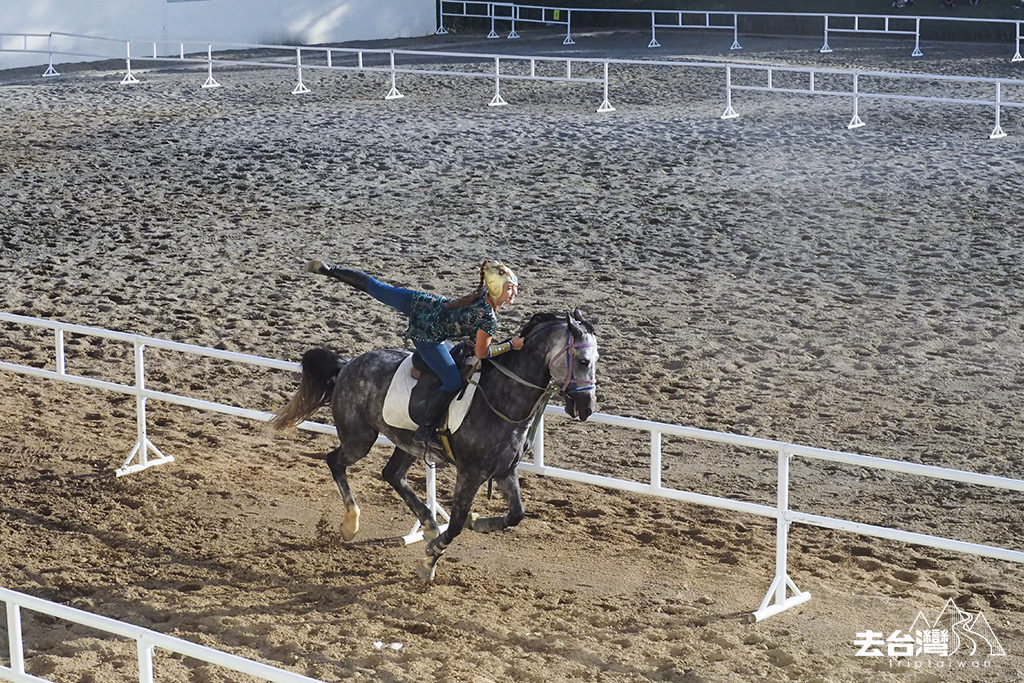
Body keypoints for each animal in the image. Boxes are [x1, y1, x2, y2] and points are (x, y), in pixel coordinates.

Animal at [272, 313, 598, 581]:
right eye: (583, 361)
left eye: (596, 360)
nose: (587, 407)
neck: (501, 400)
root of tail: (347, 364)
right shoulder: (470, 473)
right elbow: (454, 526)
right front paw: (430, 560)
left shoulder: (504, 470)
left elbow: (516, 514)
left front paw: (475, 521)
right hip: (358, 438)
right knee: (335, 462)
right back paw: (352, 524)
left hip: (405, 442)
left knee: (392, 474)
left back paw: (428, 524)